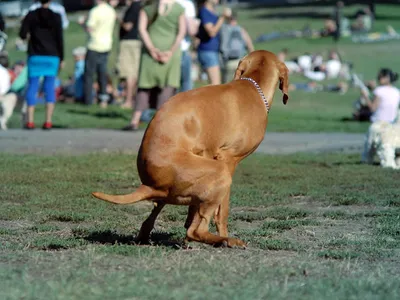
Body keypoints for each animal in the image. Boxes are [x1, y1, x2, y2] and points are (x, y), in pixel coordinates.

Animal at [92, 50, 290, 247]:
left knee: (155, 213)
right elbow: (222, 211)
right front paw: (223, 231)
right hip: (221, 172)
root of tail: (149, 185)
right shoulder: (228, 159)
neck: (252, 85)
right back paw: (225, 240)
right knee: (195, 231)